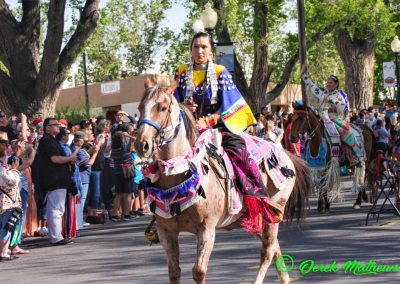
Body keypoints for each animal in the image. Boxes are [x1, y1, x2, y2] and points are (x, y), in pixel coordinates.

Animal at [136, 80, 314, 284]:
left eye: (162, 108)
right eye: (140, 108)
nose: (142, 144)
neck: (178, 173)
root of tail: (286, 155)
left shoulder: (206, 229)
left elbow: (198, 271)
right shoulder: (166, 231)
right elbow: (174, 272)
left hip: (273, 213)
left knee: (267, 252)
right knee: (274, 246)